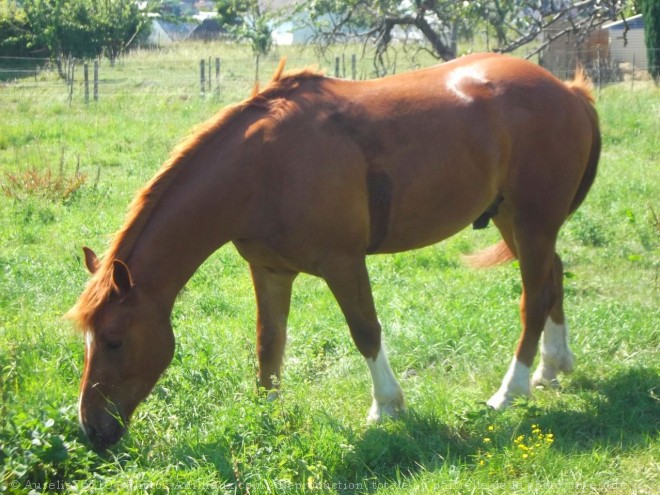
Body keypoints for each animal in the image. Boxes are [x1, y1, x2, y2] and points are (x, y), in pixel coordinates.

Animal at [65, 53, 600, 450]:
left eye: (114, 340)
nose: (92, 429)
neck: (261, 168)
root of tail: (568, 91)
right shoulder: (269, 270)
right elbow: (269, 343)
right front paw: (266, 415)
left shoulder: (343, 264)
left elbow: (365, 332)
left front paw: (386, 407)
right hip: (516, 221)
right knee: (553, 278)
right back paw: (553, 367)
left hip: (531, 222)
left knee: (533, 300)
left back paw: (510, 391)